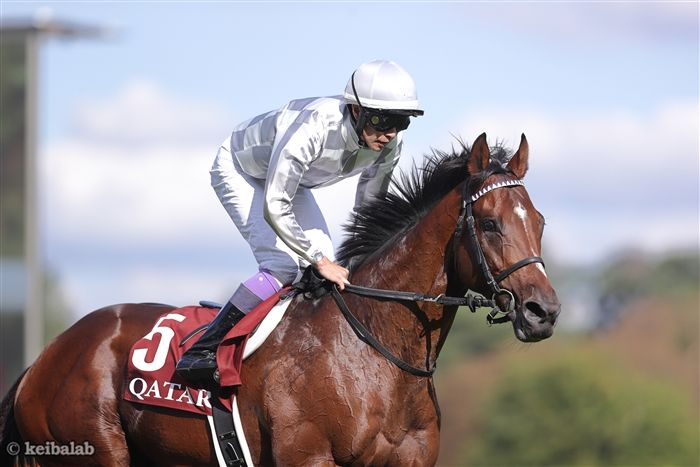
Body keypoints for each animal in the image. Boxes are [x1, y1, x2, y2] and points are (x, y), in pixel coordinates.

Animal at [1, 133, 560, 466]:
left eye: (539, 221)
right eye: (488, 223)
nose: (544, 312)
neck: (374, 352)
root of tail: (43, 359)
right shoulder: (306, 456)